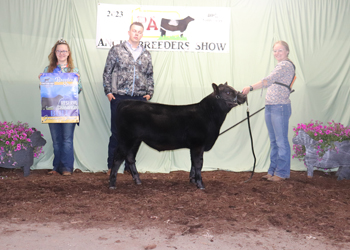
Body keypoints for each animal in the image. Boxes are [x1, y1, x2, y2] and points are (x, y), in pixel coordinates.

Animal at [109, 82, 246, 189]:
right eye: (228, 92)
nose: (243, 96)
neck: (208, 115)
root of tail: (126, 102)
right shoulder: (198, 144)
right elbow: (198, 163)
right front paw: (200, 184)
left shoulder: (194, 146)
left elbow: (193, 162)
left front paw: (193, 180)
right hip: (126, 138)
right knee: (117, 158)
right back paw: (112, 184)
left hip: (136, 140)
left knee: (130, 157)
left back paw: (137, 180)